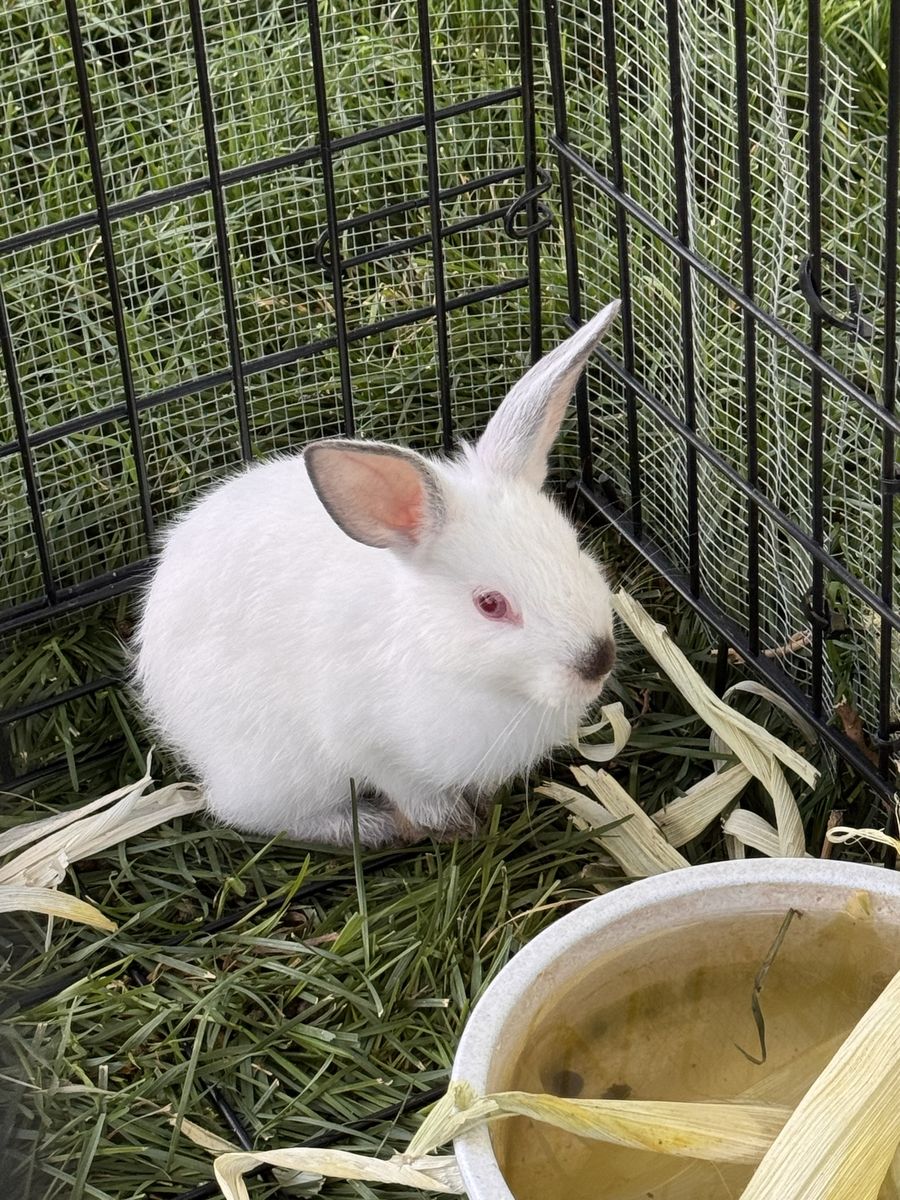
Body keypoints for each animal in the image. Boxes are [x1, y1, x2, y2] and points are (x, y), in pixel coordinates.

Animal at [134, 300, 621, 847]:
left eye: (574, 547)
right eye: (490, 604)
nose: (597, 661)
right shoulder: (371, 748)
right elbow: (412, 792)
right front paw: (449, 825)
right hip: (280, 771)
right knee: (252, 814)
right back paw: (370, 827)